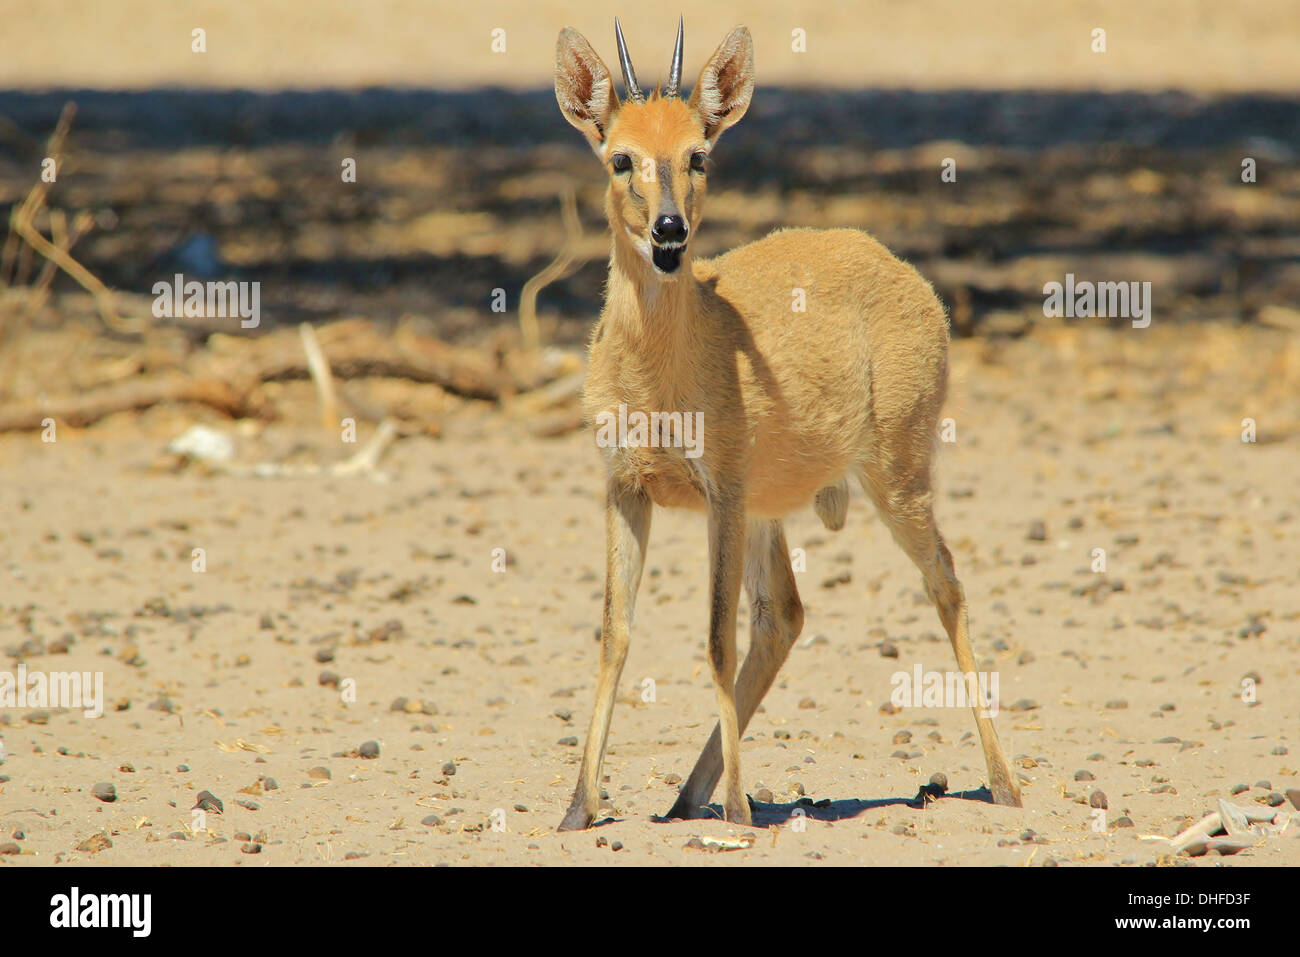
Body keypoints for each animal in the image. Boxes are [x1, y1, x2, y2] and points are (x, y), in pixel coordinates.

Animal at [553, 20, 1019, 832]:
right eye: (620, 156)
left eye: (698, 153)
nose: (670, 232)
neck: (659, 376)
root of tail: (900, 269)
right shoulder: (625, 487)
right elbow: (615, 634)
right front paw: (578, 808)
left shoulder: (723, 491)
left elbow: (713, 636)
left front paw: (740, 809)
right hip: (774, 509)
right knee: (785, 615)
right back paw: (686, 797)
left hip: (895, 476)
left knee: (946, 581)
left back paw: (1004, 784)